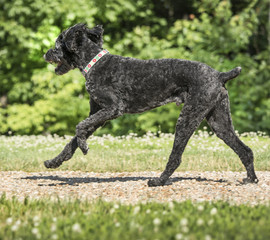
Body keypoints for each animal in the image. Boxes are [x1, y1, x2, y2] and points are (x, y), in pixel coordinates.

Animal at [43, 23, 258, 186]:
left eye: (57, 44)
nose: (45, 54)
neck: (94, 63)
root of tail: (219, 75)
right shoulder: (99, 114)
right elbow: (72, 140)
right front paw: (54, 161)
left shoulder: (113, 108)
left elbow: (79, 127)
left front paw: (84, 146)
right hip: (219, 121)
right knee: (245, 150)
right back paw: (251, 179)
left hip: (188, 117)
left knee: (176, 157)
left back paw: (158, 181)